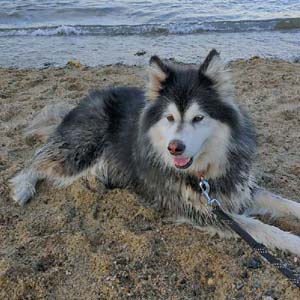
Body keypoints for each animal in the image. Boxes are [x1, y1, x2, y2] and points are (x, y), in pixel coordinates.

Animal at [8, 49, 300, 255]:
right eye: (169, 118)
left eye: (198, 118)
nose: (174, 147)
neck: (204, 172)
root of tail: (80, 103)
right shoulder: (200, 211)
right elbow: (260, 228)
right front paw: (292, 242)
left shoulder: (239, 187)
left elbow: (283, 202)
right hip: (79, 150)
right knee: (34, 161)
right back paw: (23, 187)